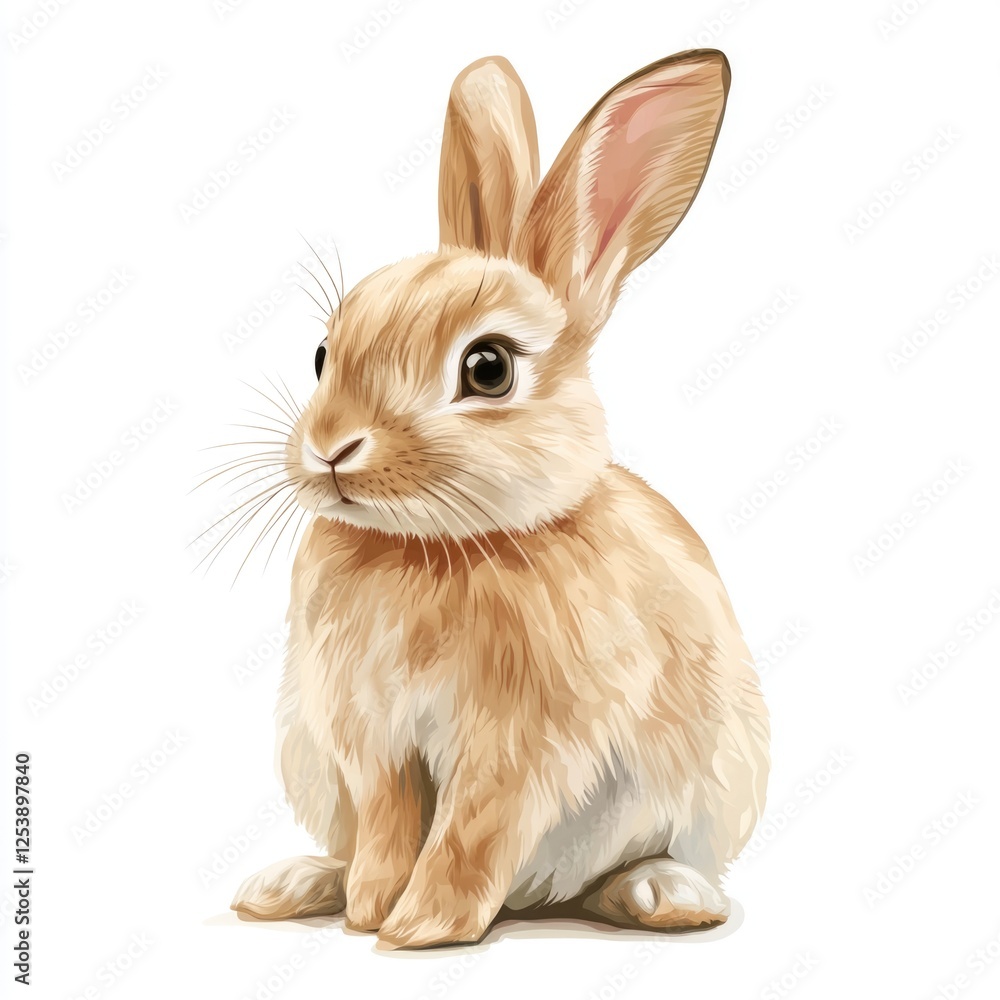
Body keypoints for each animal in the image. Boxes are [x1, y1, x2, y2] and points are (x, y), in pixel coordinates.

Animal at [231, 48, 769, 949]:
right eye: (322, 355)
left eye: (488, 369)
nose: (331, 448)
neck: (433, 547)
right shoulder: (370, 742)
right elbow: (388, 825)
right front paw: (371, 911)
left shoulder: (523, 749)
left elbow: (473, 832)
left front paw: (419, 929)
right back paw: (289, 885)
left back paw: (664, 894)